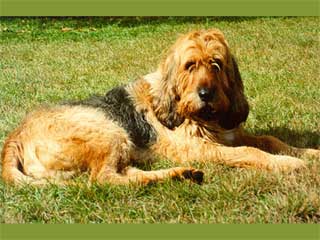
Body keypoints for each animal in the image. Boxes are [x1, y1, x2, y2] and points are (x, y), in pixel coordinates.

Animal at [1, 28, 318, 186]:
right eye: (190, 65)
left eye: (216, 64)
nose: (206, 94)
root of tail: (15, 136)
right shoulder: (201, 148)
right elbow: (250, 151)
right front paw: (288, 163)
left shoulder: (231, 133)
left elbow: (270, 139)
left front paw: (307, 152)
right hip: (109, 132)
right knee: (104, 180)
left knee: (124, 175)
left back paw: (182, 174)